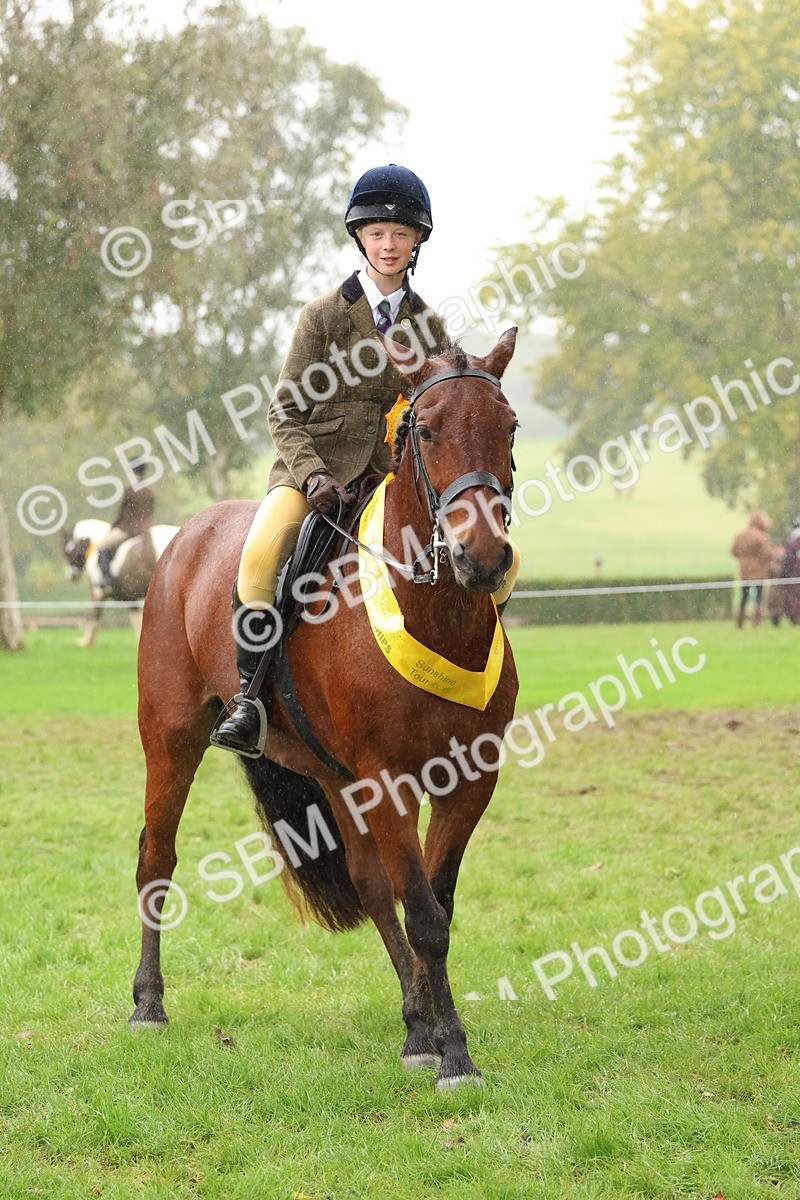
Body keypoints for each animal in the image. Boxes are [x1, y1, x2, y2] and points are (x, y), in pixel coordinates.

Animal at [130, 328, 520, 1090]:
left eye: (510, 427)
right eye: (425, 430)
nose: (482, 556)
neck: (437, 614)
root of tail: (185, 536)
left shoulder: (468, 778)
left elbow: (433, 901)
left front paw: (432, 1035)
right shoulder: (390, 778)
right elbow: (424, 914)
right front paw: (455, 1054)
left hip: (337, 776)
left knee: (370, 885)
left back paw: (413, 1026)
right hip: (171, 740)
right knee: (156, 857)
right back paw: (148, 1005)